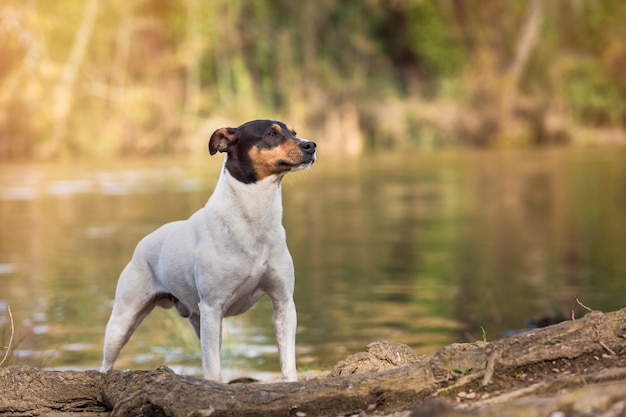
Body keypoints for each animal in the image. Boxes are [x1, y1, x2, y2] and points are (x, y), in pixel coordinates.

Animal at [102, 119, 316, 380]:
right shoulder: (212, 308)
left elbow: (287, 363)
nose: (311, 145)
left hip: (199, 321)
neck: (253, 219)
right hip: (124, 319)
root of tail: (144, 242)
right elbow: (213, 371)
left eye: (294, 132)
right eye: (271, 133)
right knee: (107, 360)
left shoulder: (283, 303)